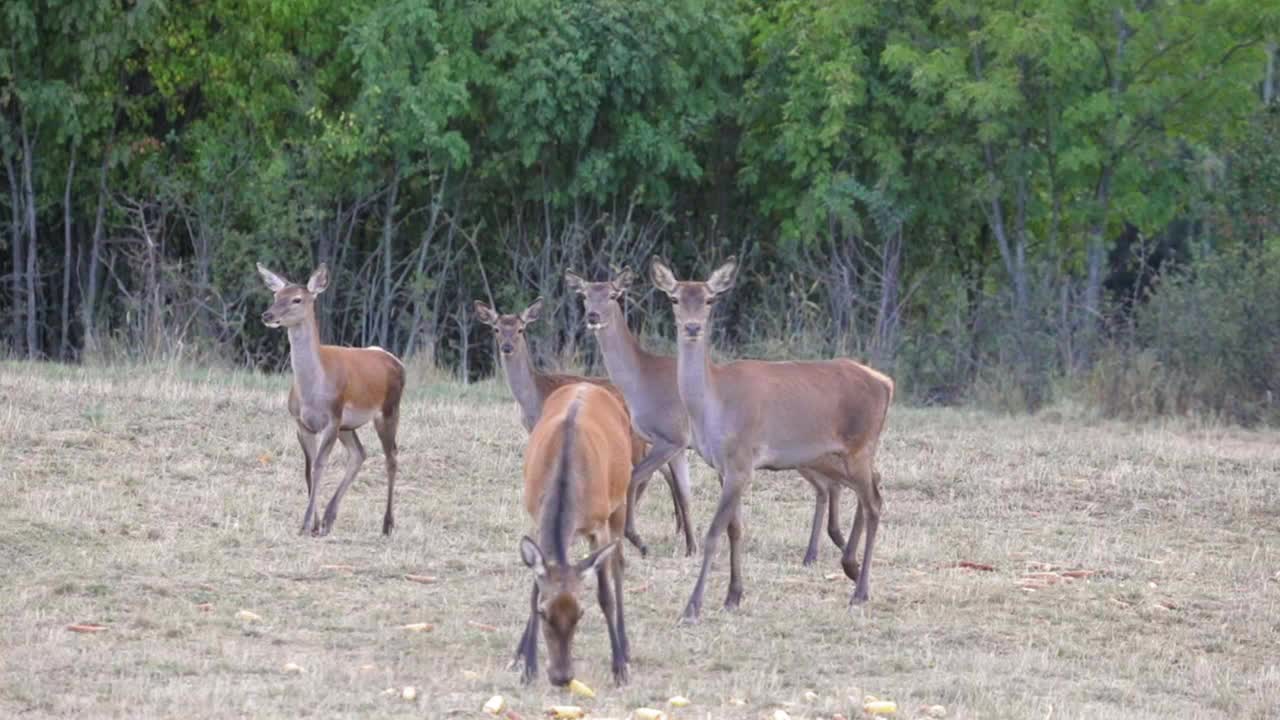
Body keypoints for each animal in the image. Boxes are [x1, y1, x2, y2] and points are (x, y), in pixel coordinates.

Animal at [257, 262, 401, 532]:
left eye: (297, 299)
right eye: (275, 295)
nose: (267, 315)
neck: (313, 391)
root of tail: (394, 360)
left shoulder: (332, 419)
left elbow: (319, 466)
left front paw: (306, 524)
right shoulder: (301, 423)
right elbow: (309, 468)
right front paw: (313, 523)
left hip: (388, 410)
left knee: (392, 457)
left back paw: (387, 525)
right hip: (348, 425)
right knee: (359, 453)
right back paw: (328, 518)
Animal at [514, 381, 634, 681]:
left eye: (580, 613)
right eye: (543, 613)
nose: (562, 677)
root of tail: (586, 383)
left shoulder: (598, 526)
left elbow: (605, 596)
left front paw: (619, 668)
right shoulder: (535, 516)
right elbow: (533, 587)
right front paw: (526, 664)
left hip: (620, 502)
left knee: (618, 563)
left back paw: (625, 647)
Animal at [568, 266, 849, 563]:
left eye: (613, 294)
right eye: (584, 295)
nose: (593, 316)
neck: (641, 380)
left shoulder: (671, 436)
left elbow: (636, 478)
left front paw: (639, 540)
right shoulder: (680, 447)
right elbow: (684, 494)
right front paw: (690, 547)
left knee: (829, 485)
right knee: (827, 487)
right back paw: (817, 551)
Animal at [650, 253, 890, 617]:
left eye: (709, 299)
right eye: (674, 298)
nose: (692, 327)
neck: (711, 409)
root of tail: (886, 382)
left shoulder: (740, 461)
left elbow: (714, 532)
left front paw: (693, 606)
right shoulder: (723, 467)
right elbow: (735, 529)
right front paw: (733, 596)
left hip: (859, 446)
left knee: (874, 501)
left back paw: (860, 591)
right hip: (849, 453)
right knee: (871, 490)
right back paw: (851, 568)